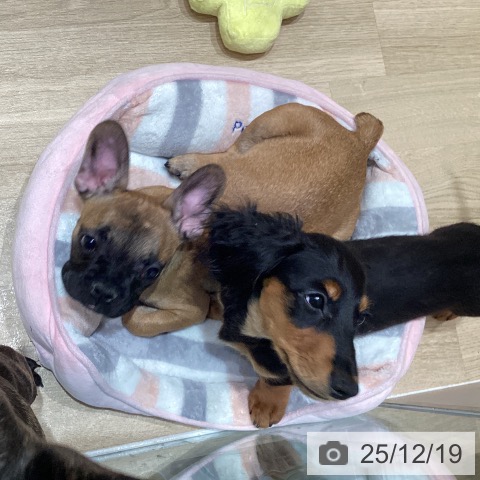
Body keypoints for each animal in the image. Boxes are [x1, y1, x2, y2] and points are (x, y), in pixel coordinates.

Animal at [62, 103, 383, 336]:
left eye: (152, 271)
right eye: (88, 241)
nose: (104, 290)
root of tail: (358, 143)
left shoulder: (190, 309)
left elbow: (136, 322)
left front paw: (132, 312)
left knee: (228, 155)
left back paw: (188, 163)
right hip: (279, 117)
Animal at [206, 208, 480, 427]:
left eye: (360, 318)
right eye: (316, 300)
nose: (349, 391)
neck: (255, 326)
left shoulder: (279, 366)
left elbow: (277, 378)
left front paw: (267, 405)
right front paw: (212, 306)